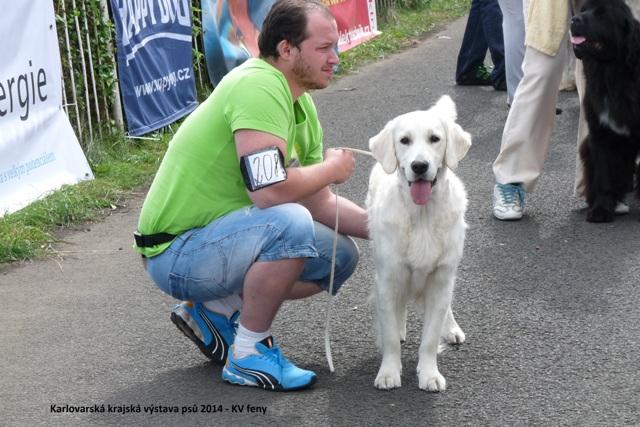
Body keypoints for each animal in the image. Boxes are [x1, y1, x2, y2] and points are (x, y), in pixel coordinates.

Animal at [366, 95, 471, 392]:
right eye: (404, 140)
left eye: (435, 138)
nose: (419, 166)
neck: (422, 215)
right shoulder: (389, 277)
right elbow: (390, 335)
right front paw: (389, 372)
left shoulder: (441, 279)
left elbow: (430, 339)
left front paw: (429, 374)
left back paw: (452, 328)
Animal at [570, 0, 640, 222]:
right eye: (583, 10)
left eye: (602, 15)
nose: (573, 20)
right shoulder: (599, 132)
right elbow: (604, 174)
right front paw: (601, 209)